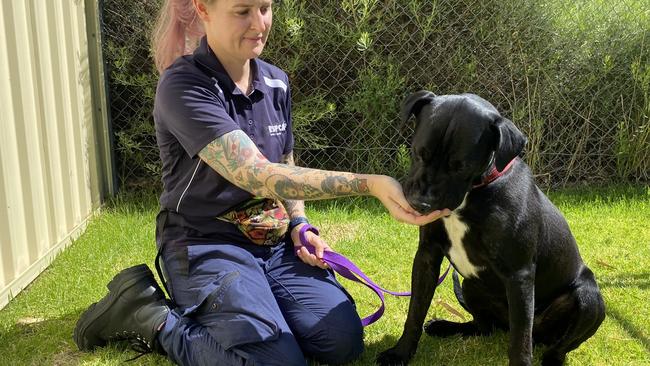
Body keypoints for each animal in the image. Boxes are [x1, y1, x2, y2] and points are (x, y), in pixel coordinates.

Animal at [378, 91, 604, 364]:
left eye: (461, 166)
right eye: (420, 153)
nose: (421, 204)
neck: (475, 191)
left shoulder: (519, 275)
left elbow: (520, 341)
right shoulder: (427, 256)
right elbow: (415, 312)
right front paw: (400, 353)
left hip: (589, 298)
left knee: (557, 345)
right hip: (469, 285)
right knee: (484, 327)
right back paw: (446, 327)